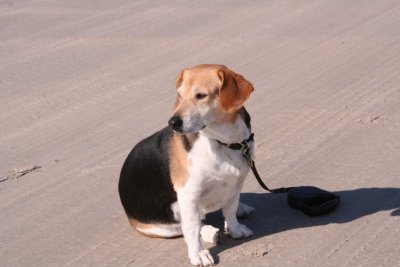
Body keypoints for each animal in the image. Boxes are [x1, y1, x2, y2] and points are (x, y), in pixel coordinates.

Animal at [119, 64, 256, 266]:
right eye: (179, 95)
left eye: (201, 95)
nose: (173, 122)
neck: (222, 142)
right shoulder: (188, 193)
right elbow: (191, 228)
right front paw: (198, 253)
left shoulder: (236, 183)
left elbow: (230, 209)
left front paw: (235, 229)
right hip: (163, 223)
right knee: (188, 226)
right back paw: (210, 232)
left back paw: (241, 208)